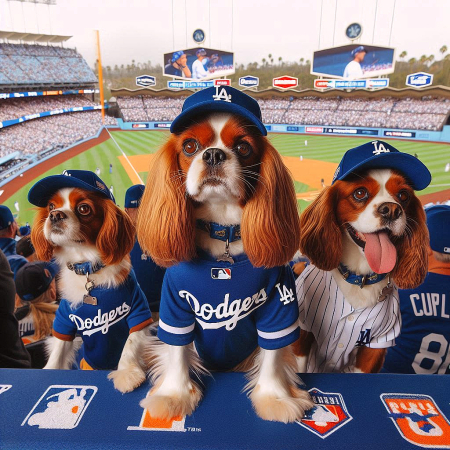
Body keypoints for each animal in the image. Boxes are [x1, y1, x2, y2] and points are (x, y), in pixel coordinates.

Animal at [29, 171, 154, 392]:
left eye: (83, 208)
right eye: (51, 206)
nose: (55, 215)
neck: (87, 267)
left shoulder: (138, 310)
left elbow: (130, 344)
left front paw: (126, 373)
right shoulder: (63, 320)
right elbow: (58, 351)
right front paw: (48, 371)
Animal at [136, 86, 312, 424]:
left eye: (243, 147)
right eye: (190, 145)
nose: (214, 154)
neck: (224, 233)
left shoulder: (278, 307)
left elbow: (272, 358)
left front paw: (274, 398)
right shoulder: (176, 307)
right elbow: (177, 352)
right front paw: (173, 395)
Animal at [294, 141, 430, 372]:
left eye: (403, 195)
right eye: (360, 193)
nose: (392, 210)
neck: (360, 277)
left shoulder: (376, 346)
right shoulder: (304, 331)